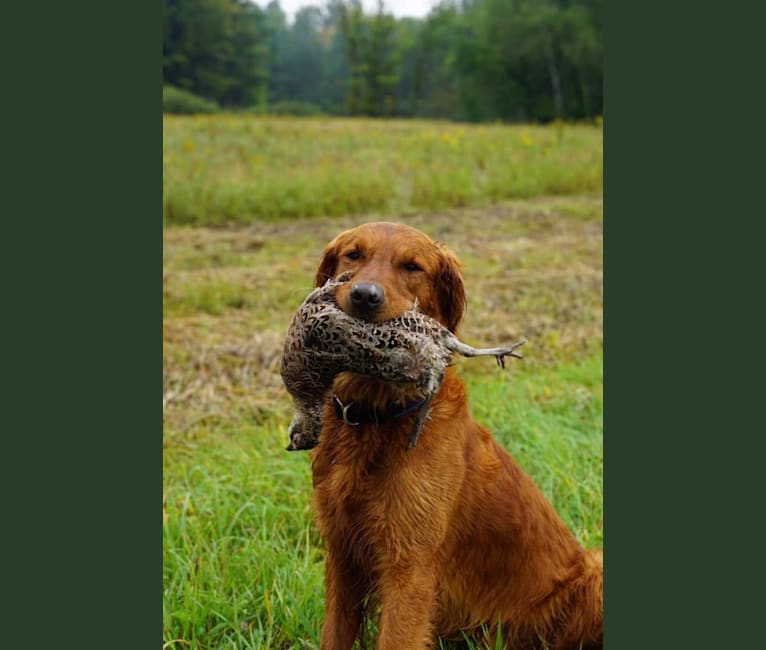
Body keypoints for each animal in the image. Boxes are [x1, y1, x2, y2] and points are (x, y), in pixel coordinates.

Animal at [308, 223, 604, 648]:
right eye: (354, 254)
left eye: (412, 266)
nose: (365, 296)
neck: (378, 418)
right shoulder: (342, 556)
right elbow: (334, 635)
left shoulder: (409, 568)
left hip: (593, 574)